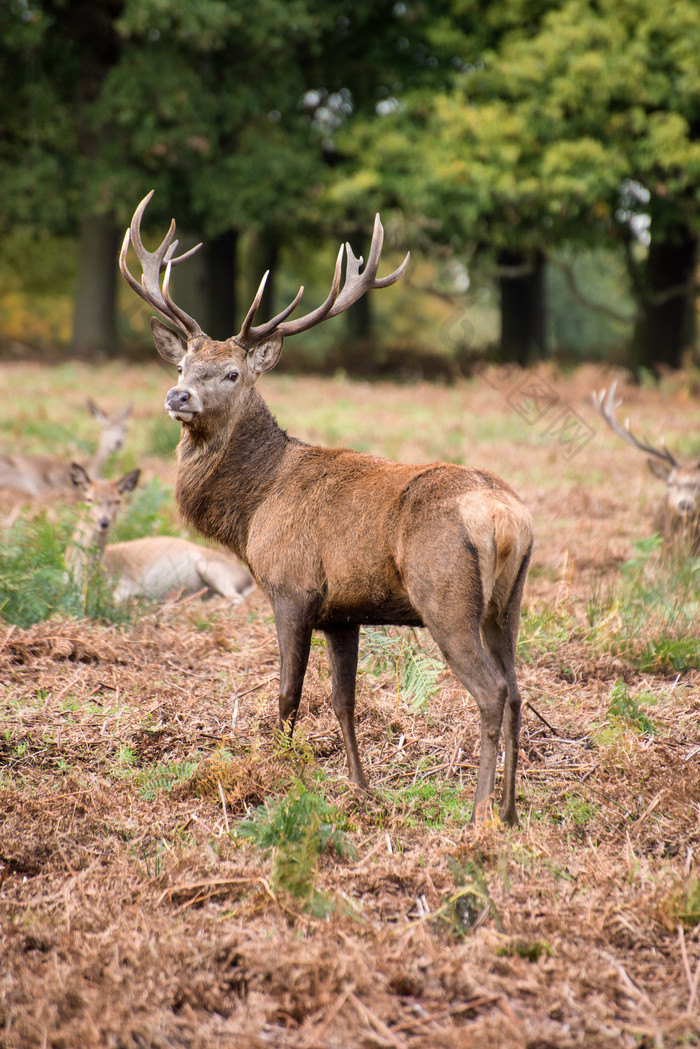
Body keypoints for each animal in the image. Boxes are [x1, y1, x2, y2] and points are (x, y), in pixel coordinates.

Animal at [66, 467, 255, 608]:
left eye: (118, 500)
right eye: (89, 499)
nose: (104, 522)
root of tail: (250, 580)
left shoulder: (126, 583)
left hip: (212, 568)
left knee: (234, 597)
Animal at [121, 193, 537, 822]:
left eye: (232, 372)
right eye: (180, 366)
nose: (179, 396)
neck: (254, 508)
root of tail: (505, 518)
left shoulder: (291, 587)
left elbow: (287, 696)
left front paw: (275, 778)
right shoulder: (345, 611)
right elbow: (344, 700)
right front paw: (361, 789)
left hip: (446, 596)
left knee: (492, 693)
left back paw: (477, 814)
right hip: (508, 604)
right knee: (516, 691)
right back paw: (509, 814)